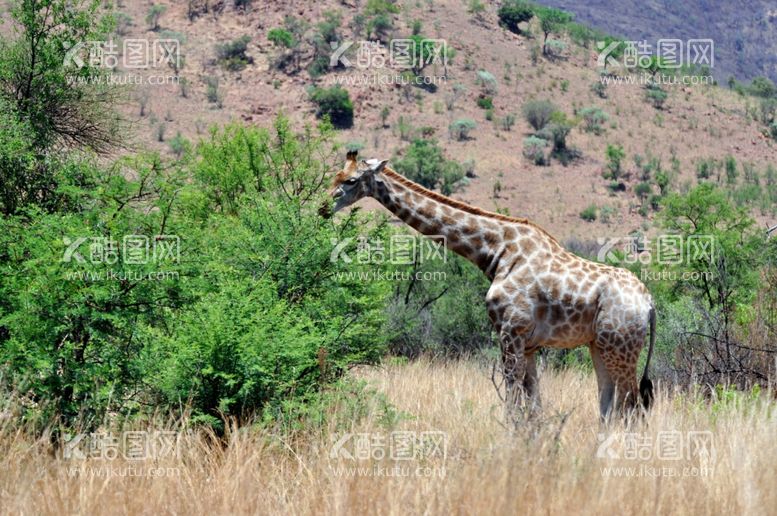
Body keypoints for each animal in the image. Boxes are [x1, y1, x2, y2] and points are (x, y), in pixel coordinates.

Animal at [322, 150, 656, 420]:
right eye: (333, 175)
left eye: (351, 180)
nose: (322, 207)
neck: (495, 251)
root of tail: (649, 304)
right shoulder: (529, 343)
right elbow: (534, 407)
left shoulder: (510, 332)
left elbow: (513, 402)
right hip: (599, 346)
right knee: (609, 406)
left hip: (620, 349)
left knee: (632, 407)